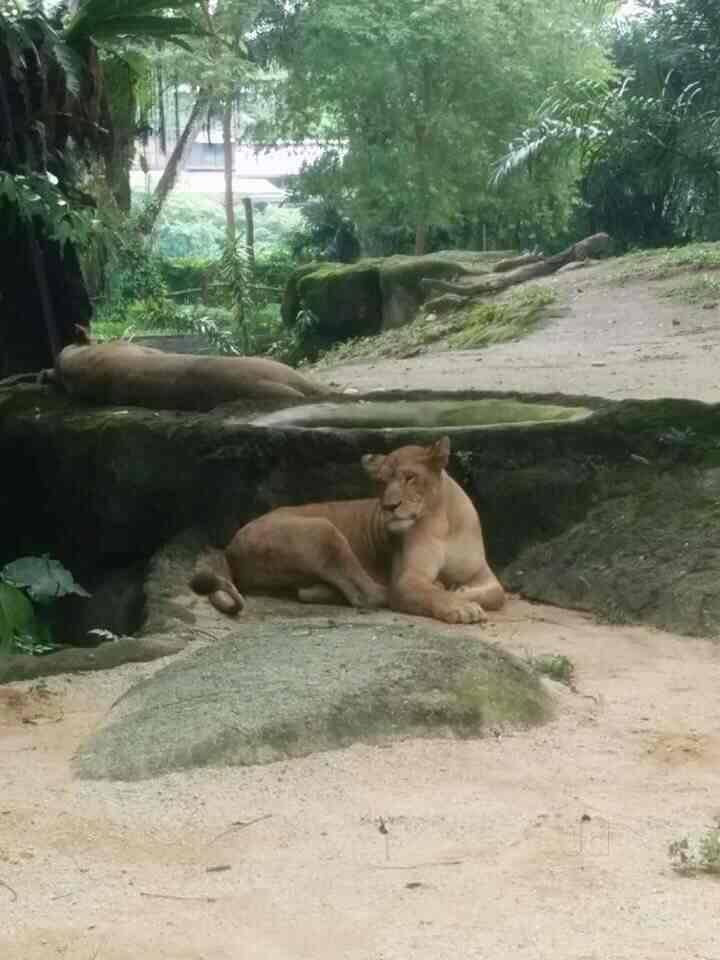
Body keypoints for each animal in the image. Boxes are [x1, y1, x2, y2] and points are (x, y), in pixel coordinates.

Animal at [190, 436, 505, 625]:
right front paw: (459, 604)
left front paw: (463, 592)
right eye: (381, 483)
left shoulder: (482, 573)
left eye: (410, 478)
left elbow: (497, 594)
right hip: (323, 529)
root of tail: (229, 547)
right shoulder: (407, 579)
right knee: (368, 594)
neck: (441, 521)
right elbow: (428, 593)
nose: (389, 506)